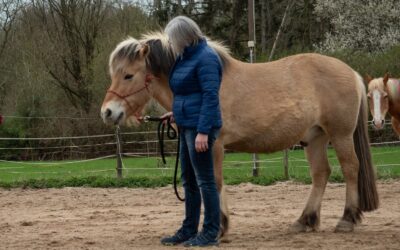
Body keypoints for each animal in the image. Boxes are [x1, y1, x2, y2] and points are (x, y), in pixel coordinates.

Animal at [100, 32, 378, 238]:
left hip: (340, 135)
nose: (107, 112)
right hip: (315, 137)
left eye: (128, 75)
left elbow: (215, 183)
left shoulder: (213, 145)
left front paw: (218, 228)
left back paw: (347, 219)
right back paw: (304, 221)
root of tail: (351, 73)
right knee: (321, 174)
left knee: (351, 168)